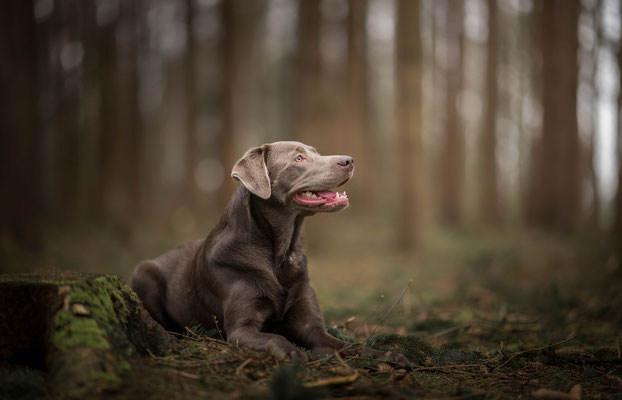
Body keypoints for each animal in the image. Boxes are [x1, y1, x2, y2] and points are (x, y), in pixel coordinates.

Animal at [131, 142, 412, 364]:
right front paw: (293, 353)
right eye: (298, 158)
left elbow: (349, 345)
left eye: (315, 152)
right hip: (143, 272)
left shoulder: (311, 325)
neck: (280, 253)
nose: (349, 160)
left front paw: (387, 355)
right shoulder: (241, 330)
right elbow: (275, 337)